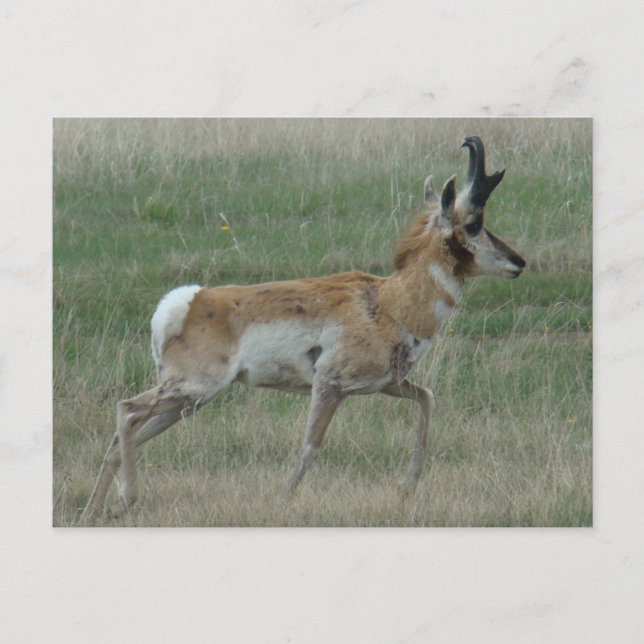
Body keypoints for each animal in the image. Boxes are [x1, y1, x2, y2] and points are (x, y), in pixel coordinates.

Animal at [80, 136, 525, 524]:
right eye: (474, 223)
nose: (518, 261)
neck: (389, 302)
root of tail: (187, 302)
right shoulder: (329, 384)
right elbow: (310, 446)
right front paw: (282, 501)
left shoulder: (385, 384)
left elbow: (427, 399)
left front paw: (407, 488)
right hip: (193, 388)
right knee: (126, 410)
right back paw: (125, 499)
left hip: (190, 401)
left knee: (123, 437)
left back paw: (96, 512)